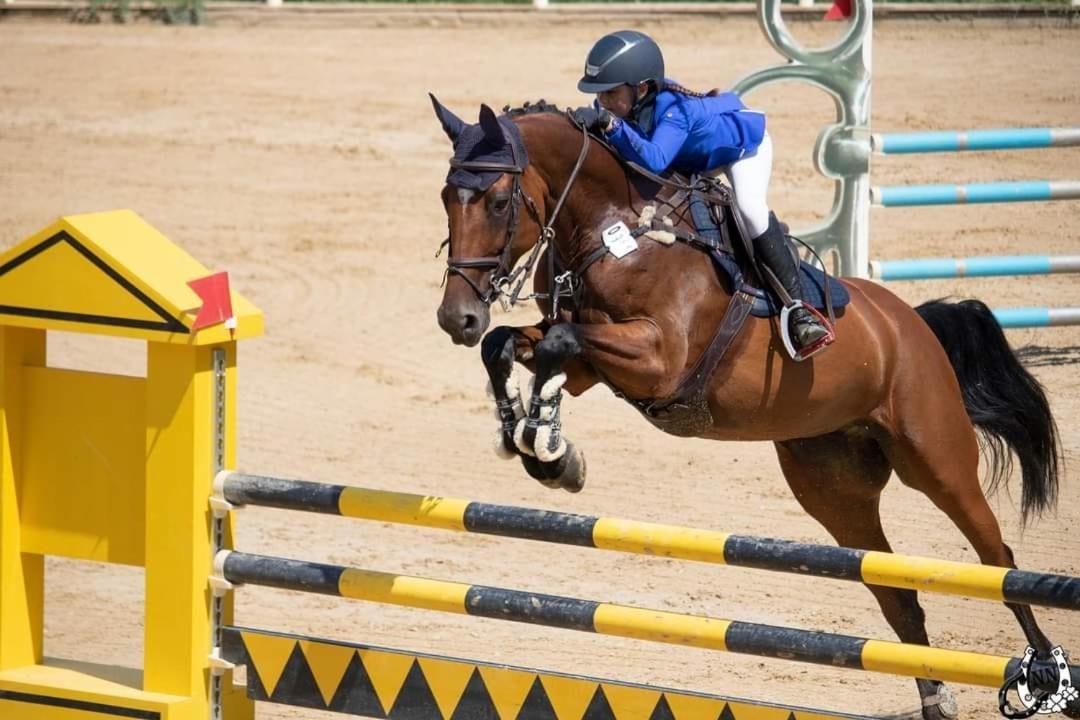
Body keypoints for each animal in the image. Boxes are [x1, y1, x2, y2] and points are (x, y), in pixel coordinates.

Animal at [427, 97, 1071, 720]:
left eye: (499, 200)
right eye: (446, 199)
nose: (456, 318)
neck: (613, 228)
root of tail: (910, 322)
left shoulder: (659, 358)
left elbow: (557, 344)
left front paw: (546, 443)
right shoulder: (596, 362)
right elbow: (512, 345)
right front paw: (543, 447)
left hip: (936, 460)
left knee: (996, 559)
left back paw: (1044, 675)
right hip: (834, 489)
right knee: (896, 593)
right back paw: (936, 699)